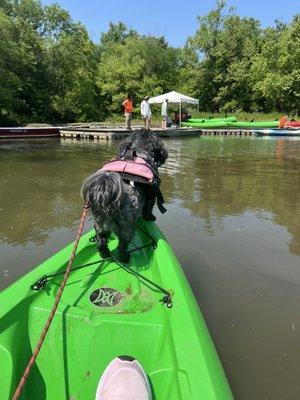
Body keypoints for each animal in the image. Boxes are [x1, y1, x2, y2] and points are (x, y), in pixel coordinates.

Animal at [81, 130, 168, 264]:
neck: (139, 151)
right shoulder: (152, 194)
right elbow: (148, 208)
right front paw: (150, 217)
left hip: (100, 226)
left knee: (101, 242)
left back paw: (105, 255)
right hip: (126, 229)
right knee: (122, 245)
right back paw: (124, 257)